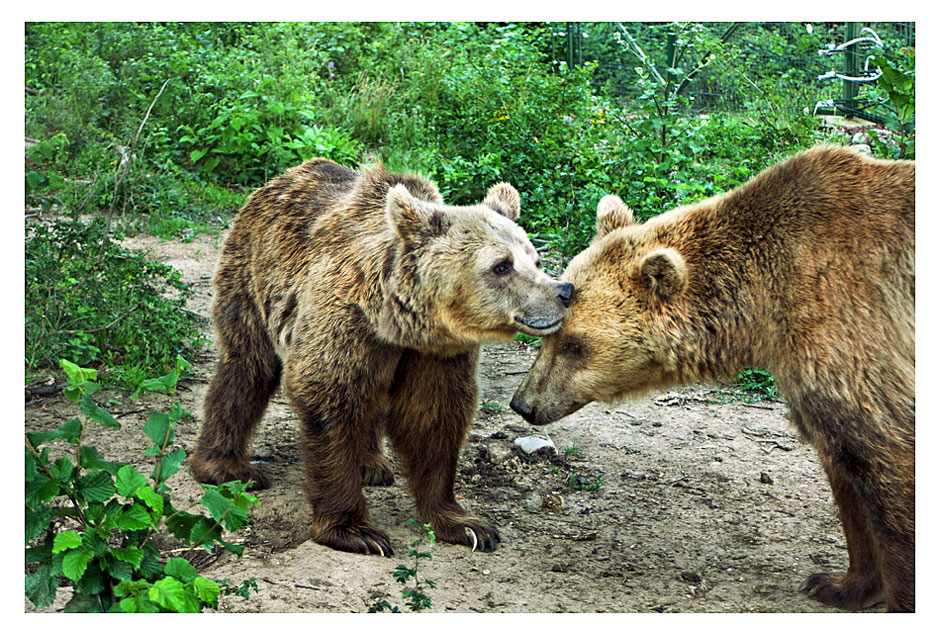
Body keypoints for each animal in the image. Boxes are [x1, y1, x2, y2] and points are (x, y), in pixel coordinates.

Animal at [190, 157, 572, 556]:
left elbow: (433, 415)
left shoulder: (436, 353)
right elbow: (328, 396)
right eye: (501, 265)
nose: (564, 291)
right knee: (247, 368)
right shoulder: (346, 322)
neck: (399, 321)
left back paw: (370, 464)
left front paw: (465, 524)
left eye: (535, 259)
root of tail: (284, 176)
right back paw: (226, 466)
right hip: (252, 276)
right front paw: (355, 530)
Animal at [510, 146, 916, 608]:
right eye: (548, 334)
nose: (523, 403)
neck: (763, 308)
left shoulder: (856, 329)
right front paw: (839, 583)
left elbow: (887, 470)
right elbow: (845, 469)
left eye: (574, 344)